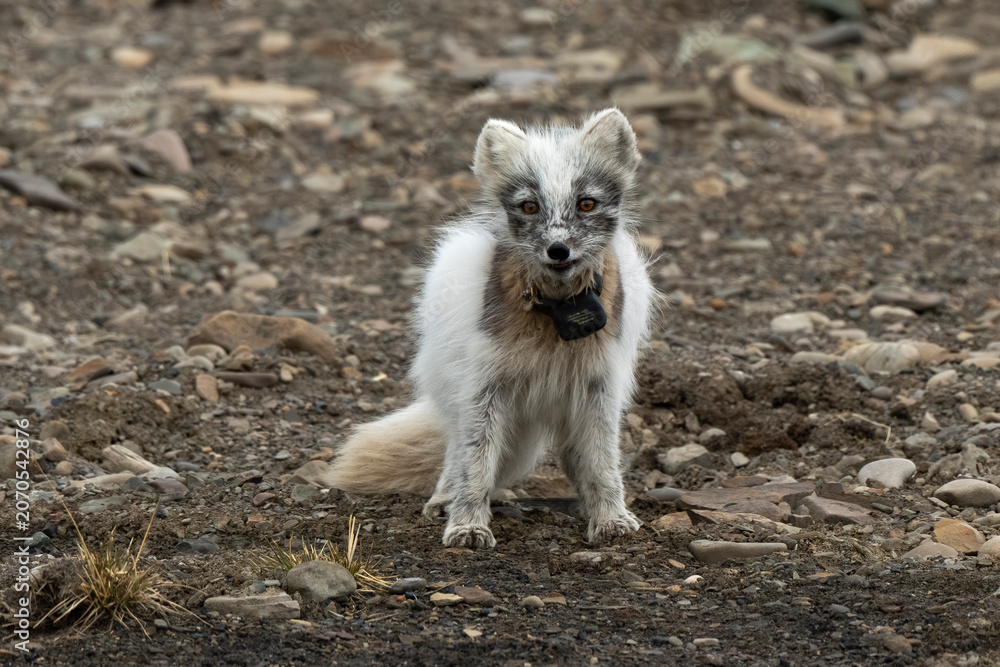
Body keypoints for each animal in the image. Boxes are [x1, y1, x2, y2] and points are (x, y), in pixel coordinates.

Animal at [320, 108, 654, 548]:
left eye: (587, 203)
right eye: (529, 206)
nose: (558, 250)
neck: (556, 314)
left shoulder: (601, 384)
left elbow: (601, 461)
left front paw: (611, 519)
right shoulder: (484, 384)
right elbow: (475, 460)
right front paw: (467, 526)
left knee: (571, 453)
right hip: (461, 392)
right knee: (455, 451)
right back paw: (444, 500)